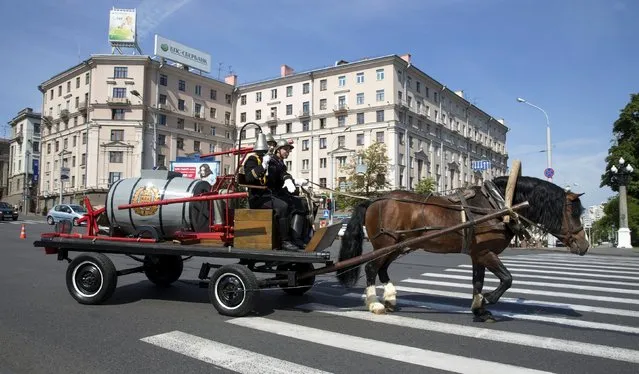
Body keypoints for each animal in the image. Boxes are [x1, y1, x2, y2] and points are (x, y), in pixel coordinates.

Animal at [336, 176, 592, 322]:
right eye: (572, 213)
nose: (585, 245)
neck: (496, 206)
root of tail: (374, 200)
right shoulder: (485, 254)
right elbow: (507, 279)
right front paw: (489, 300)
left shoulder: (478, 255)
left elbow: (477, 282)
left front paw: (479, 309)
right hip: (385, 245)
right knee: (371, 268)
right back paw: (375, 304)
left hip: (397, 246)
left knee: (382, 270)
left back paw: (389, 299)